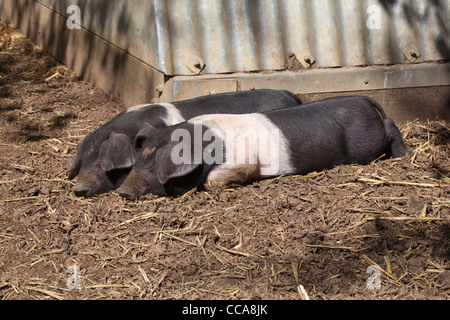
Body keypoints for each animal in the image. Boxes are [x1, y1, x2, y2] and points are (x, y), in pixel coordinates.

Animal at [117, 95, 412, 200]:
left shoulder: (243, 160)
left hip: (366, 144)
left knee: (389, 125)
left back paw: (403, 155)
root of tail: (362, 99)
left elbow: (215, 179)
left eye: (154, 166)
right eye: (139, 160)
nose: (121, 190)